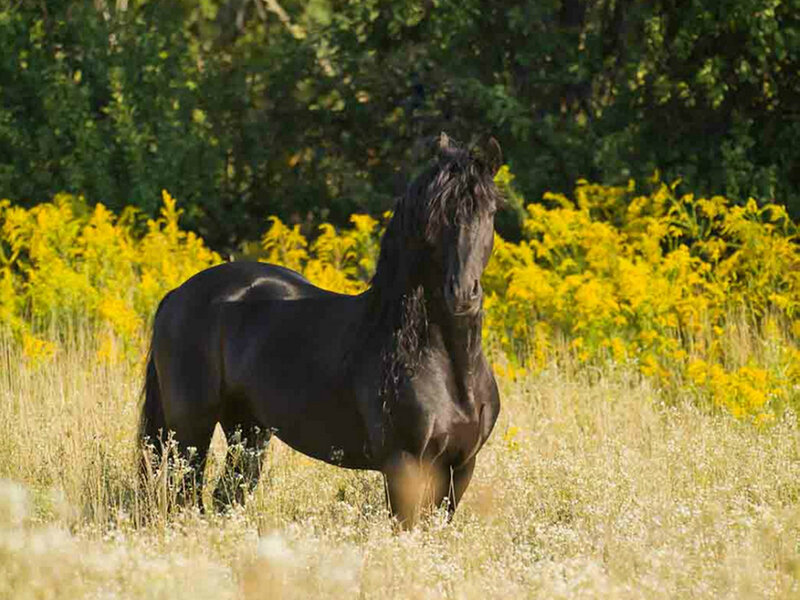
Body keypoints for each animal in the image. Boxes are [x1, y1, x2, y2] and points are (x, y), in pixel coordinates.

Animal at [138, 134, 502, 526]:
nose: (462, 293)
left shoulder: (460, 466)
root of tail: (177, 294)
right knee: (185, 497)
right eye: (437, 215)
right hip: (190, 431)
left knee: (224, 498)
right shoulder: (404, 465)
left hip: (248, 431)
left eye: (489, 212)